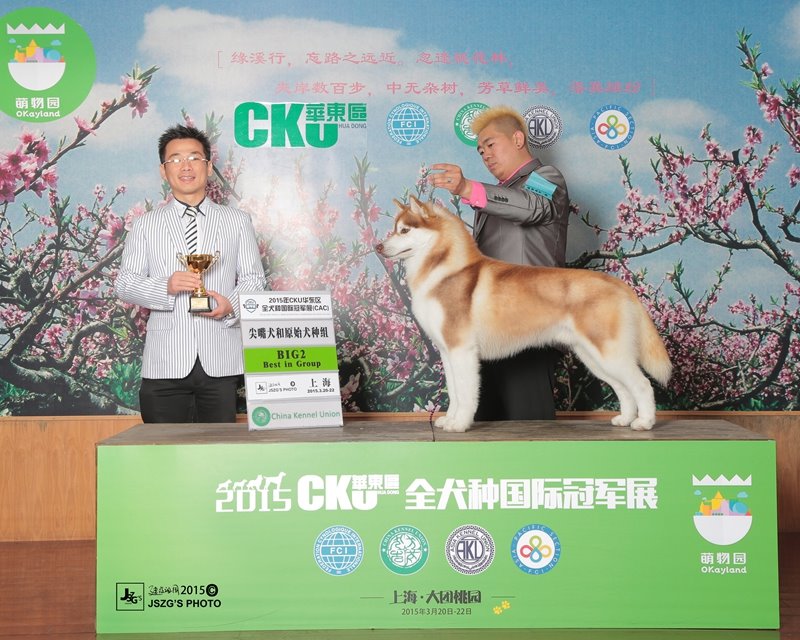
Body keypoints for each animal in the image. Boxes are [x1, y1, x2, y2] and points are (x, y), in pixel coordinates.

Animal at [375, 197, 672, 432]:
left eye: (404, 230)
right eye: (394, 229)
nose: (378, 247)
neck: (443, 270)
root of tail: (618, 283)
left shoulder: (462, 350)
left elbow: (466, 393)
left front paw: (459, 424)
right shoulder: (448, 352)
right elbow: (455, 392)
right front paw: (449, 419)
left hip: (609, 353)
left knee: (642, 385)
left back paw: (644, 422)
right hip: (593, 356)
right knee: (623, 388)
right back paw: (625, 419)